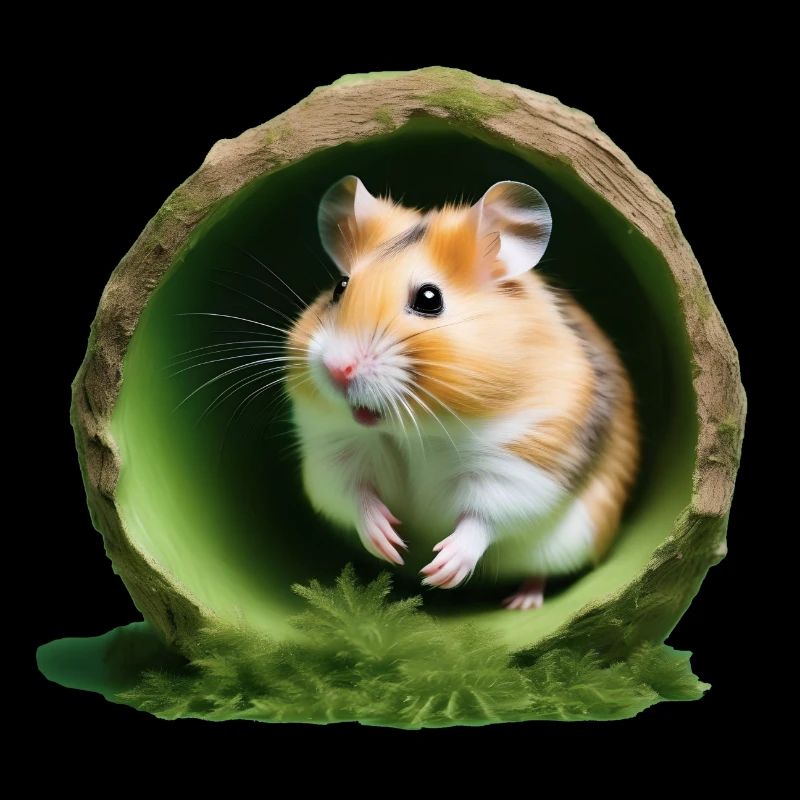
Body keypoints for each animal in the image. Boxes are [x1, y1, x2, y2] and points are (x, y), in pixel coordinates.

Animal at [286, 176, 639, 609]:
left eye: (429, 299)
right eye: (340, 287)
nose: (338, 368)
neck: (417, 432)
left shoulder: (522, 462)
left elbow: (483, 517)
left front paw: (441, 569)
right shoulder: (332, 451)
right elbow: (353, 493)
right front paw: (391, 542)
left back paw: (521, 602)